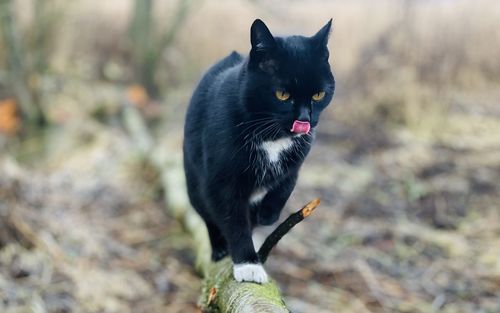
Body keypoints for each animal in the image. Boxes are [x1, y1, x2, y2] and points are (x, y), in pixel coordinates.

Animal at [182, 19, 334, 282]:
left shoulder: (297, 160)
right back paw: (219, 248)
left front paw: (268, 214)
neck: (272, 137)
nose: (305, 119)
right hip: (193, 180)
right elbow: (233, 220)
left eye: (318, 94)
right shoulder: (222, 181)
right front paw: (248, 264)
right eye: (282, 94)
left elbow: (285, 184)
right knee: (208, 216)